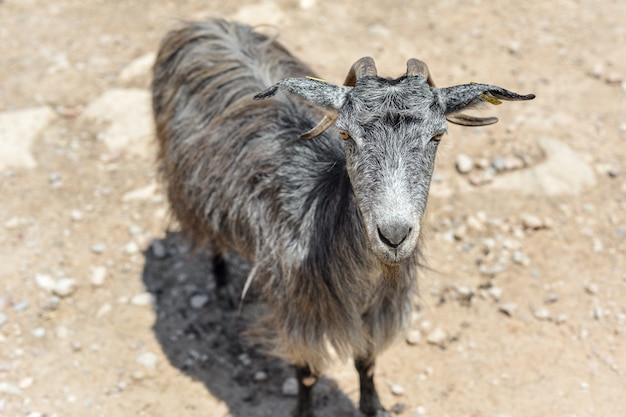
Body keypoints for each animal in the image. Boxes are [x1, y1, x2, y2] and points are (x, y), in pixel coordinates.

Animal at [151, 17, 532, 414]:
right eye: (346, 134)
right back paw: (223, 286)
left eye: (437, 136)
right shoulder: (300, 312)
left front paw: (373, 406)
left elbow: (366, 360)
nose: (393, 235)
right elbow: (306, 374)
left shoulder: (374, 313)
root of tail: (200, 24)